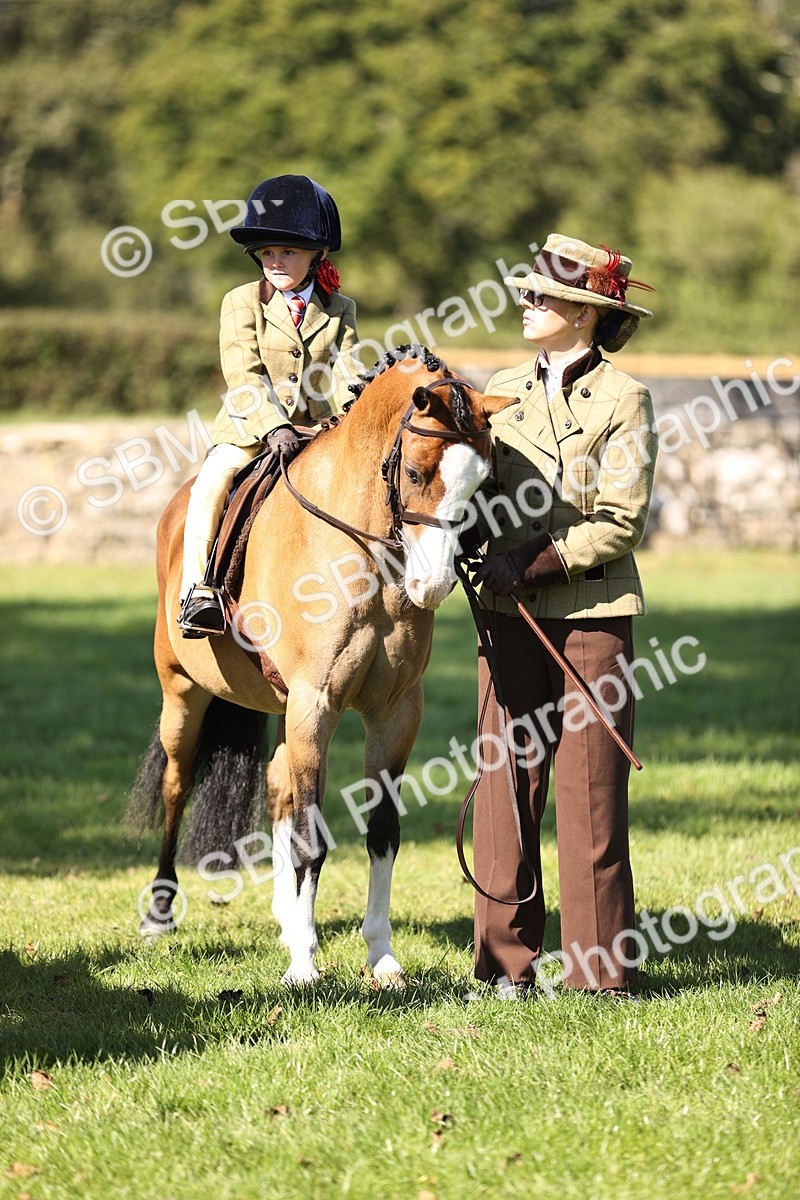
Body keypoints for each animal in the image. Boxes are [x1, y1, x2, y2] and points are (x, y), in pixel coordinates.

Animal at [130, 345, 514, 985]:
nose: (432, 586)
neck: (366, 556)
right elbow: (312, 839)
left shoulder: (394, 714)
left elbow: (381, 832)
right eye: (415, 474)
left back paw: (288, 920)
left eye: (483, 482)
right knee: (177, 786)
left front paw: (381, 957)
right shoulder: (317, 704)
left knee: (279, 789)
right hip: (182, 695)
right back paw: (161, 911)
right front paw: (305, 968)